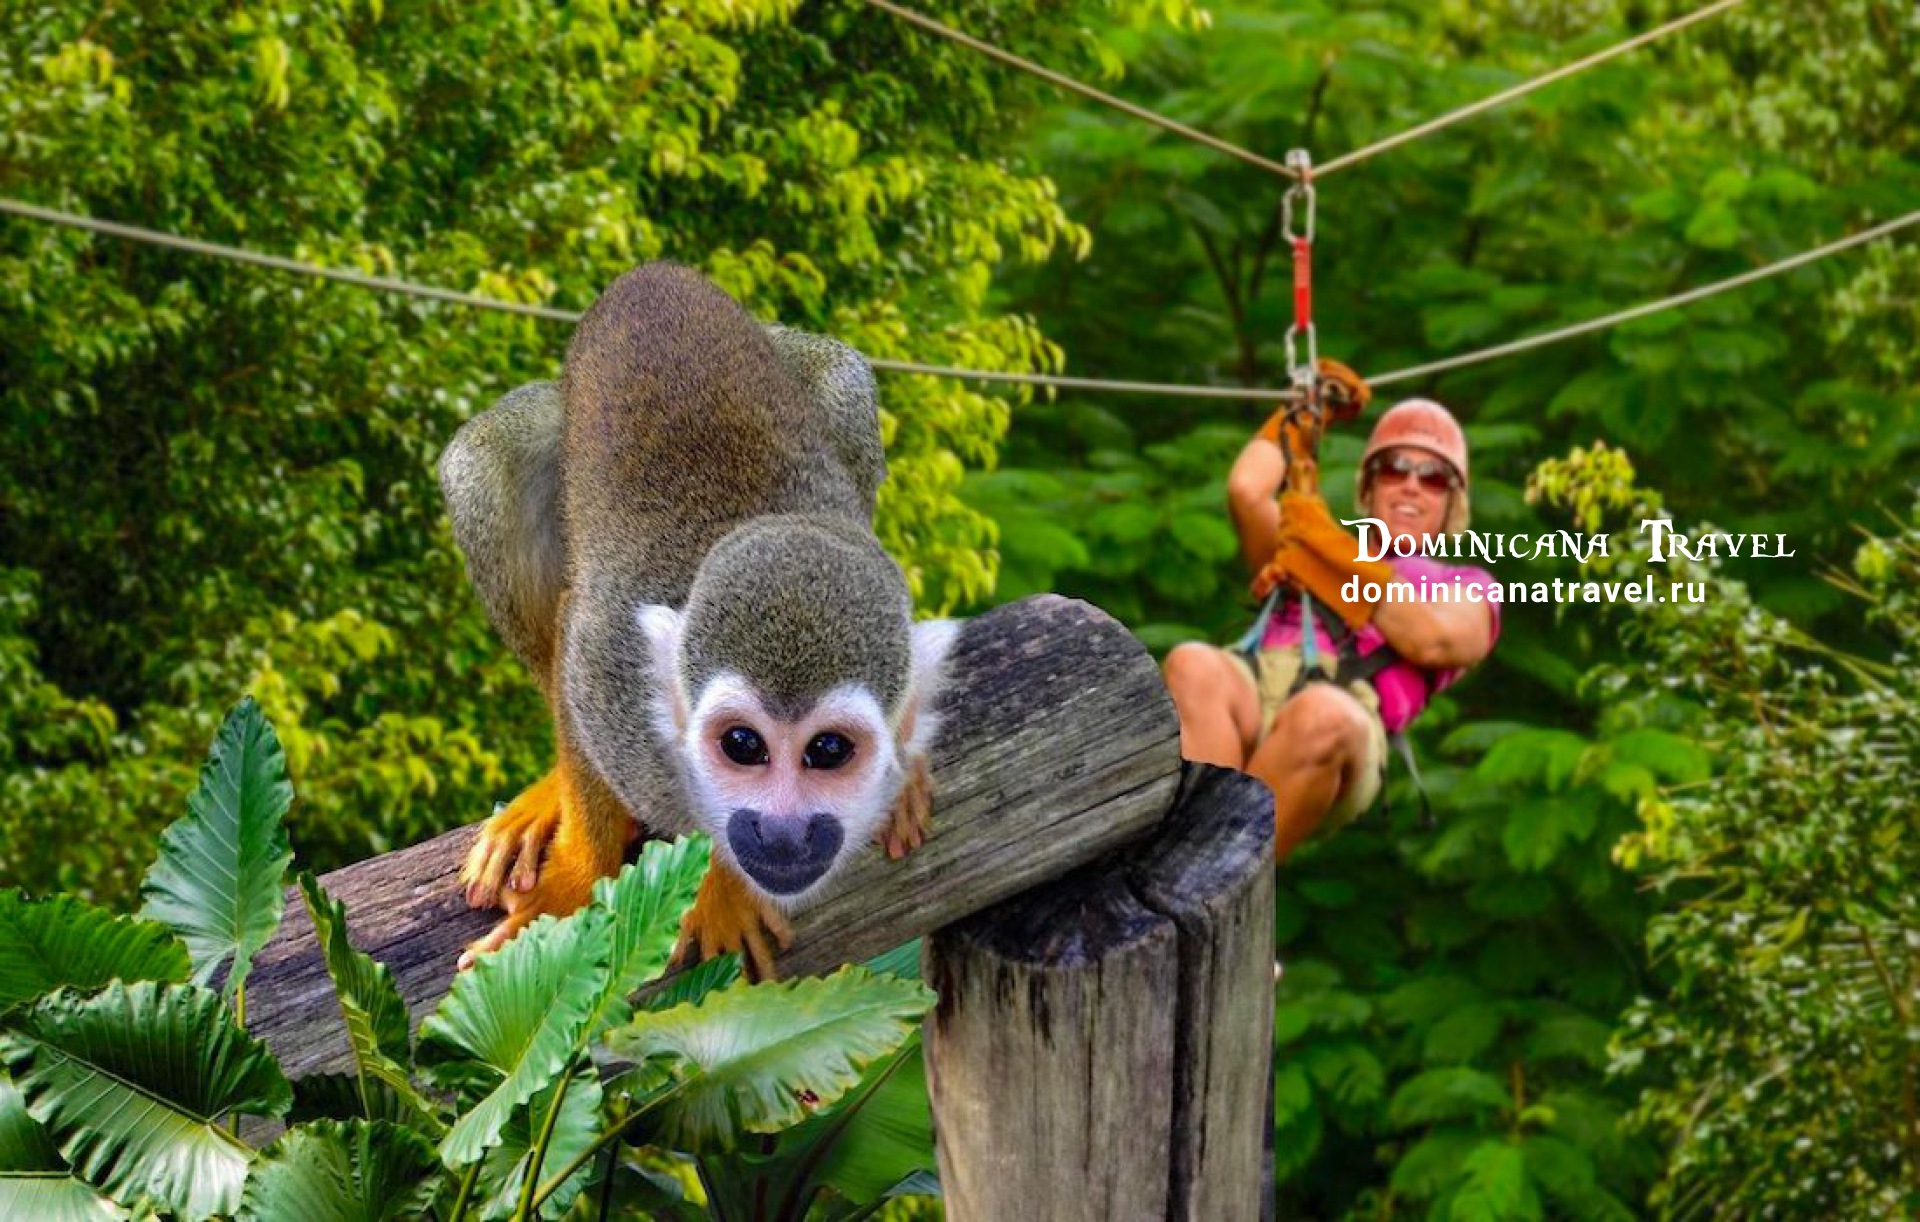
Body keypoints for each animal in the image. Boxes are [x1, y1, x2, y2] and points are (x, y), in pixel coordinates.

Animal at [437, 262, 957, 979]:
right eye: (743, 746)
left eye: (831, 753)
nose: (789, 830)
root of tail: (652, 274)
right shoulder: (610, 662)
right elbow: (577, 659)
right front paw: (575, 882)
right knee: (482, 464)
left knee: (843, 381)